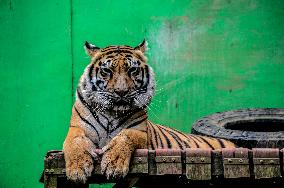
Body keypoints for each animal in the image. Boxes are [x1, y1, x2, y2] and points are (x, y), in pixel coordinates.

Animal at [63, 39, 235, 182]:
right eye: (107, 71)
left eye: (132, 70)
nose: (121, 92)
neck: (112, 112)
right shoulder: (77, 128)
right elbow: (74, 142)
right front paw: (77, 169)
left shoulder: (140, 132)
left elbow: (125, 136)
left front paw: (114, 163)